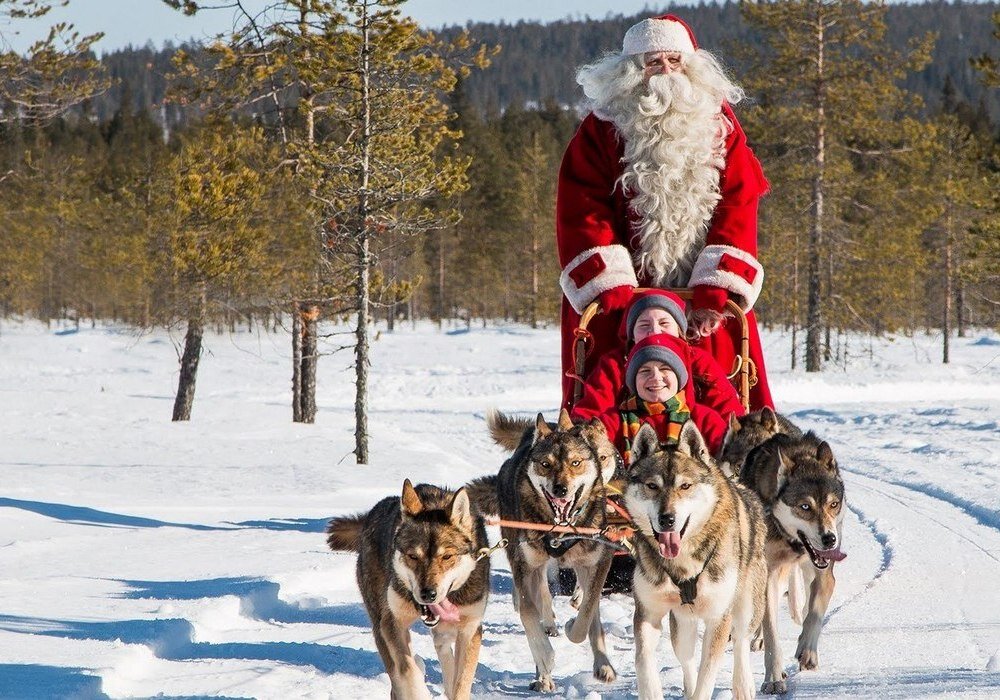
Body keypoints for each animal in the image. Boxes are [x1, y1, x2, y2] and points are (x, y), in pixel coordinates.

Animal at [328, 482, 488, 700]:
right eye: (413, 556)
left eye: (447, 557)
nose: (428, 594)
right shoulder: (392, 622)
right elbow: (407, 671)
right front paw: (419, 689)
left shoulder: (470, 629)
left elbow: (461, 683)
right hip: (379, 625)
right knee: (397, 674)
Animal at [468, 410, 616, 688]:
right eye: (545, 464)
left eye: (576, 462)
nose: (561, 489)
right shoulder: (525, 566)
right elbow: (529, 612)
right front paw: (545, 656)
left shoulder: (598, 561)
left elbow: (588, 613)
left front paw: (575, 629)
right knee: (539, 598)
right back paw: (543, 673)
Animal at [624, 422, 764, 700]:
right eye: (652, 486)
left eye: (685, 486)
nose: (667, 519)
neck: (683, 562)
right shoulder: (648, 612)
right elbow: (643, 661)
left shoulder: (719, 617)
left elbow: (707, 676)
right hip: (682, 621)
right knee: (686, 659)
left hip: (746, 605)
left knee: (741, 641)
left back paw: (743, 686)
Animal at [740, 432, 848, 696]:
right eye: (805, 507)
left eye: (833, 504)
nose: (830, 539)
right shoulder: (768, 576)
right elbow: (772, 637)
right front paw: (773, 679)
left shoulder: (824, 574)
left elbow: (814, 615)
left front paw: (807, 652)